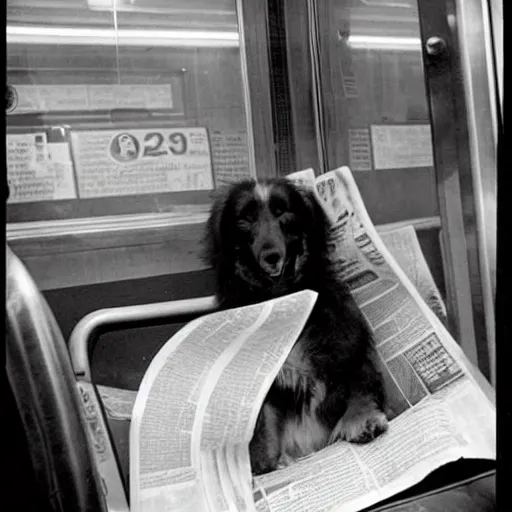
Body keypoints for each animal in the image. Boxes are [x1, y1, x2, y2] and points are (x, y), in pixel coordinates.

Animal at [204, 179, 388, 476]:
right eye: (245, 218)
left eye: (283, 212)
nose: (271, 256)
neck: (285, 300)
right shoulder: (265, 391)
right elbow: (263, 427)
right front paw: (266, 464)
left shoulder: (346, 347)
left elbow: (359, 384)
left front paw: (362, 419)